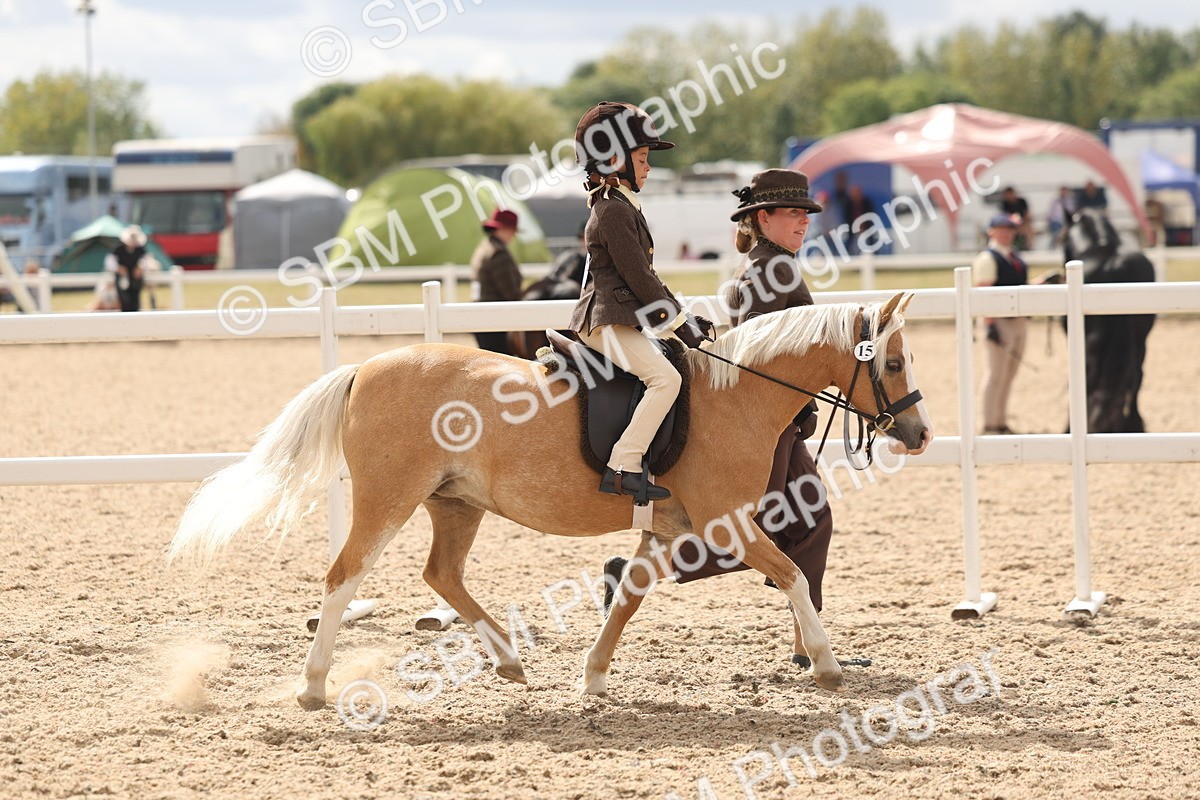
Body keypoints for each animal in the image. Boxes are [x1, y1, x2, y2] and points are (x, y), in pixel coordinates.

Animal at [169, 293, 933, 711]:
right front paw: (828, 666)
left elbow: (629, 596)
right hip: (390, 501)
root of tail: (365, 368)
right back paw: (314, 685)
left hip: (456, 504)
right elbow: (795, 575)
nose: (921, 434)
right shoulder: (728, 524)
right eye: (893, 362)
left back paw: (508, 661)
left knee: (441, 575)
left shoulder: (671, 529)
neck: (732, 395)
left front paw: (591, 678)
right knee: (343, 578)